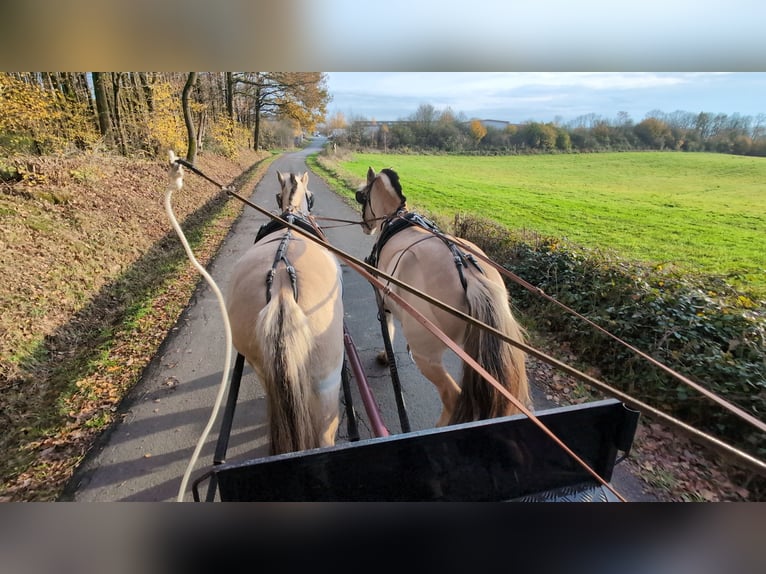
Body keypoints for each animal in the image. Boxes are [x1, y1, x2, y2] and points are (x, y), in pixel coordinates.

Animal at [356, 166, 532, 428]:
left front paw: (385, 356)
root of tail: (472, 278)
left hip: (425, 354)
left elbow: (387, 327)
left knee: (452, 395)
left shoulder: (382, 296)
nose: (364, 226)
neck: (396, 218)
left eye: (362, 196)